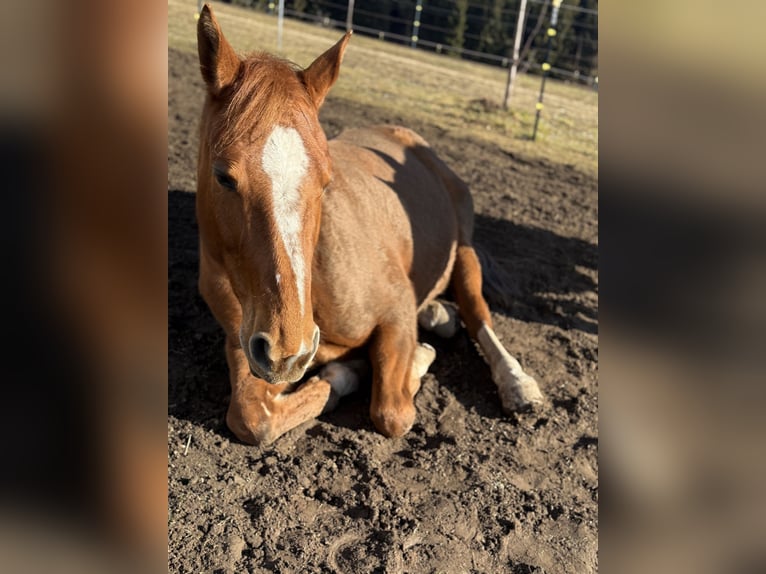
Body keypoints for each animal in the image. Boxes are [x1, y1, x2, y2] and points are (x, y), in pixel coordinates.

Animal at [195, 5, 543, 445]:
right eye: (224, 177)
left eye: (326, 181)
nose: (290, 351)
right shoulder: (245, 342)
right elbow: (252, 416)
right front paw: (349, 370)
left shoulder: (396, 309)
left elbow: (392, 412)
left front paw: (412, 358)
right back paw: (437, 316)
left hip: (464, 253)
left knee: (479, 315)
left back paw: (516, 382)